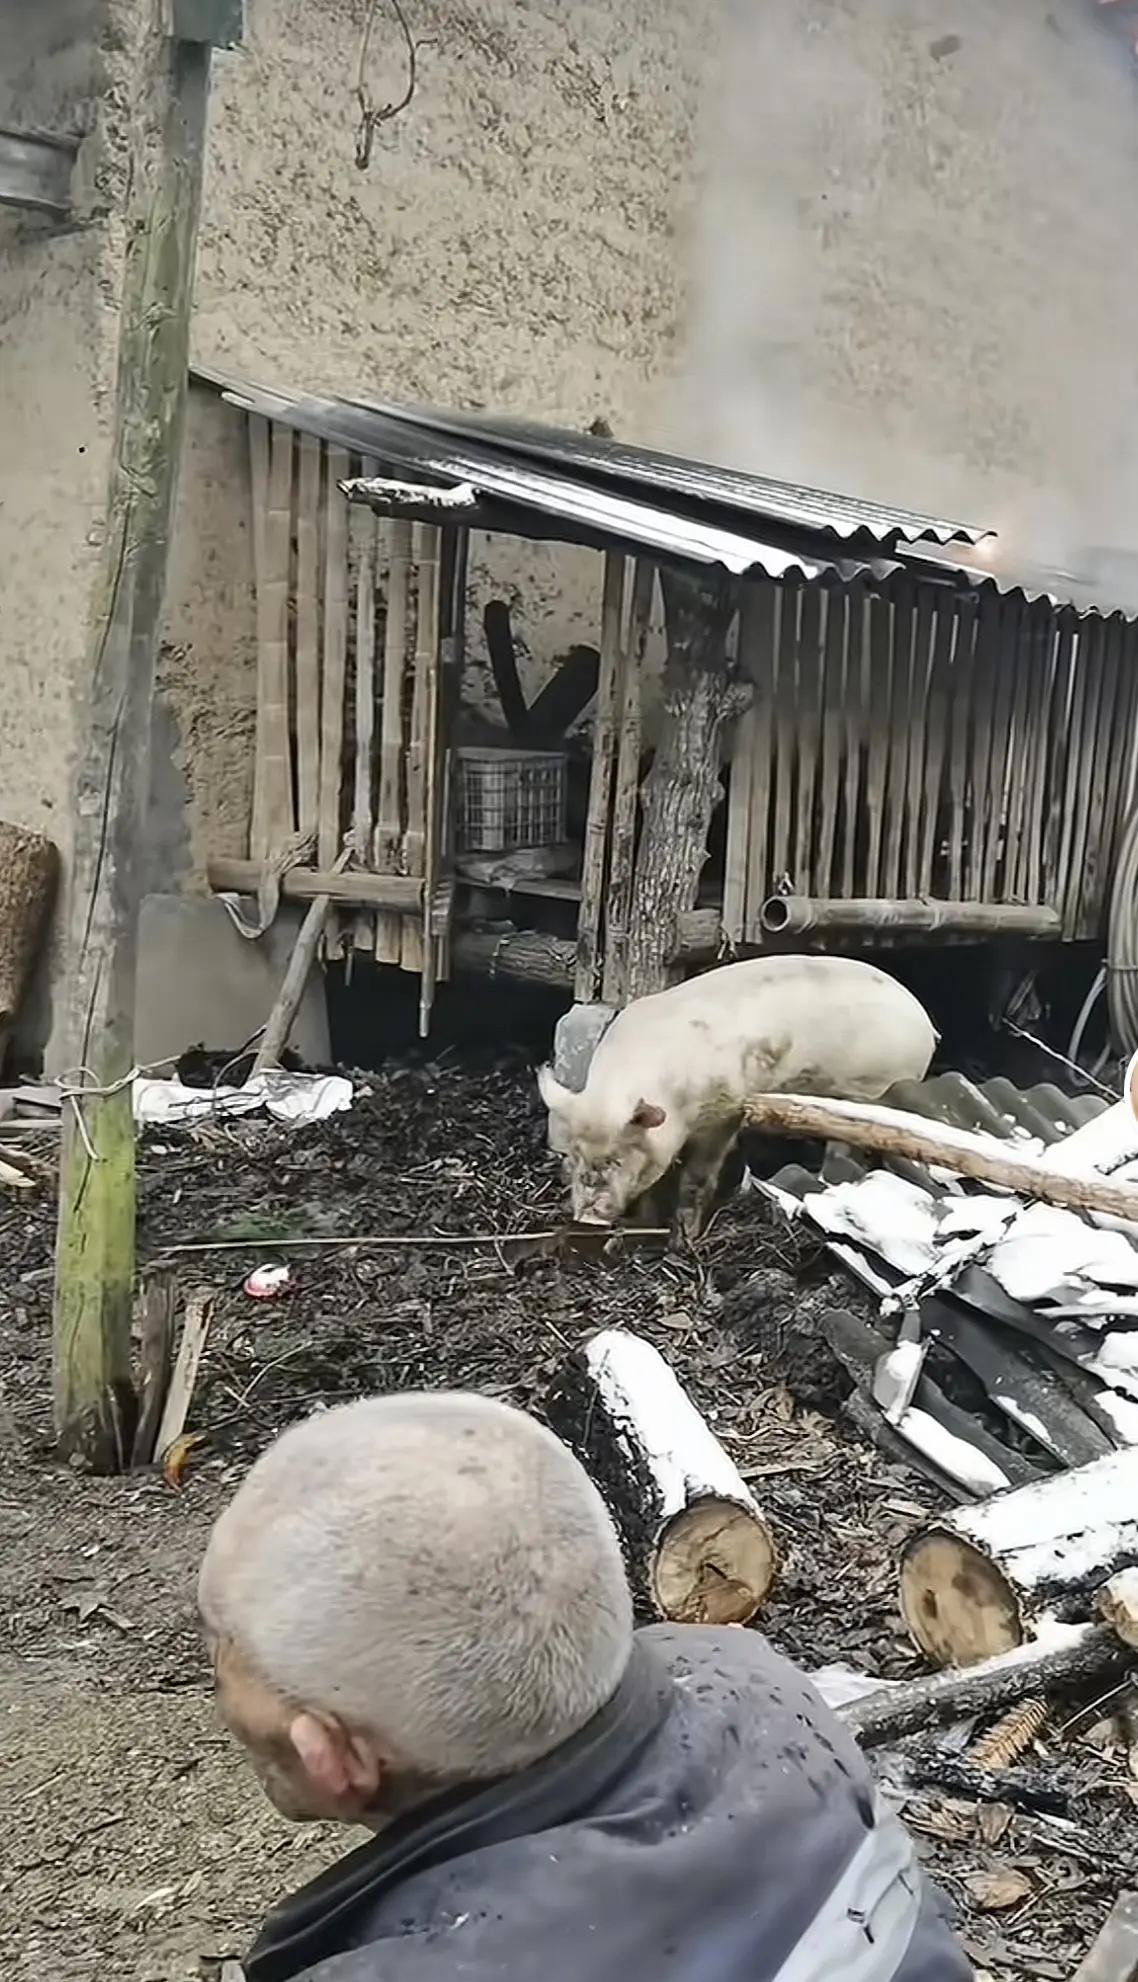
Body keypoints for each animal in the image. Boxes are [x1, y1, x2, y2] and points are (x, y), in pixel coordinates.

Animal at [538, 954, 937, 1241]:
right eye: (574, 1154)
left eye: (617, 1159)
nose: (587, 1218)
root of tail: (926, 1023)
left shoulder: (726, 1111)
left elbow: (698, 1176)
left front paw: (685, 1240)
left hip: (873, 1088)